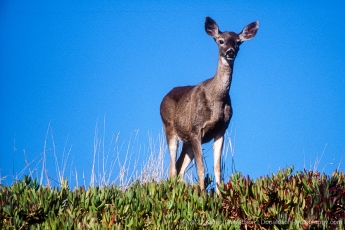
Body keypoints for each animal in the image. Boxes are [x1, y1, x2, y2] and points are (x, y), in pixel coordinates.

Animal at [160, 16, 256, 194]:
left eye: (238, 42)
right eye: (220, 41)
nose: (230, 52)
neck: (216, 100)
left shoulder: (221, 130)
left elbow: (218, 168)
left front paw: (219, 196)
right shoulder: (196, 129)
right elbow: (201, 168)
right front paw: (203, 196)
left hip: (187, 141)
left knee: (179, 167)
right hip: (169, 128)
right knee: (172, 168)